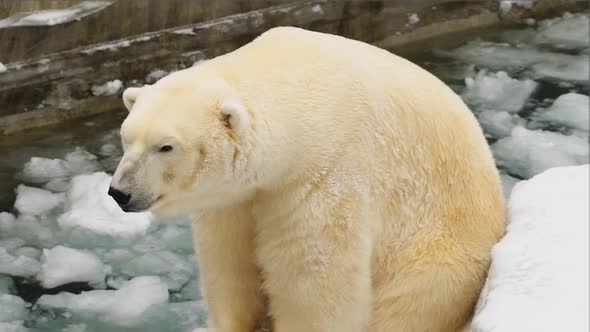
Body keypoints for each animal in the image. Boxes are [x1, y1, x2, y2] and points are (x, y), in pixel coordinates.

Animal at [108, 26, 506, 332]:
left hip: (437, 257)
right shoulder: (238, 197)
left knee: (407, 305)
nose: (119, 193)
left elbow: (313, 279)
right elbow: (229, 260)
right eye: (127, 137)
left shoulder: (325, 175)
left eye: (165, 146)